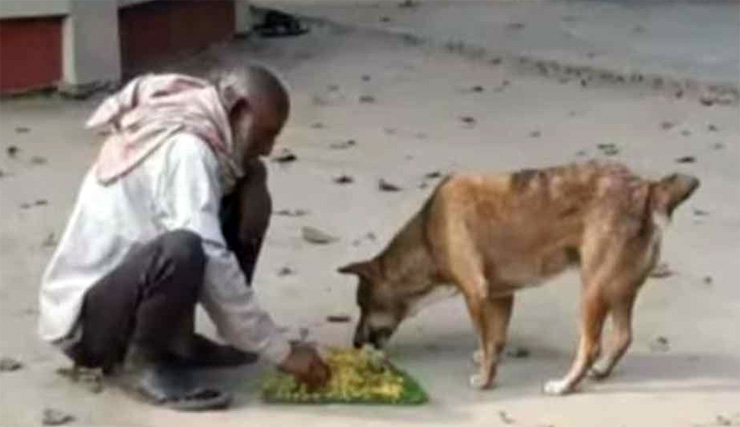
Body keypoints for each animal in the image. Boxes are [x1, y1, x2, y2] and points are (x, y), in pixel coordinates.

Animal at [340, 162, 700, 396]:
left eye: (363, 305)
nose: (355, 343)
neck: (427, 234)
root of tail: (647, 189)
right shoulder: (500, 295)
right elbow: (494, 339)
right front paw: (488, 358)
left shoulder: (475, 293)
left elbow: (485, 338)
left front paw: (485, 379)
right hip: (620, 289)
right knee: (623, 336)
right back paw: (600, 371)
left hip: (593, 290)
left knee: (591, 345)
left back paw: (566, 385)